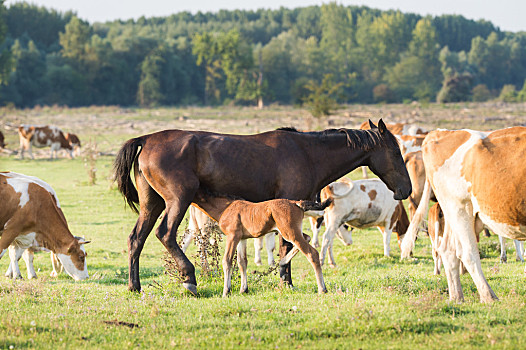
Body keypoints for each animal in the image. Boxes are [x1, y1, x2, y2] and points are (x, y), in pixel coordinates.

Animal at [192, 190, 332, 296]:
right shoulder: (242, 239)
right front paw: (243, 290)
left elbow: (227, 260)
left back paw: (322, 289)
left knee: (311, 253)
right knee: (307, 238)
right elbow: (242, 262)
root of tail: (296, 203)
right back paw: (282, 263)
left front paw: (226, 292)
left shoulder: (232, 236)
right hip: (290, 231)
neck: (225, 207)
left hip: (289, 232)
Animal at [402, 127, 524, 302]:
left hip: (454, 213)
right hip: (460, 208)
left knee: (447, 250)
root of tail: (439, 132)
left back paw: (456, 297)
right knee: (468, 252)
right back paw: (489, 297)